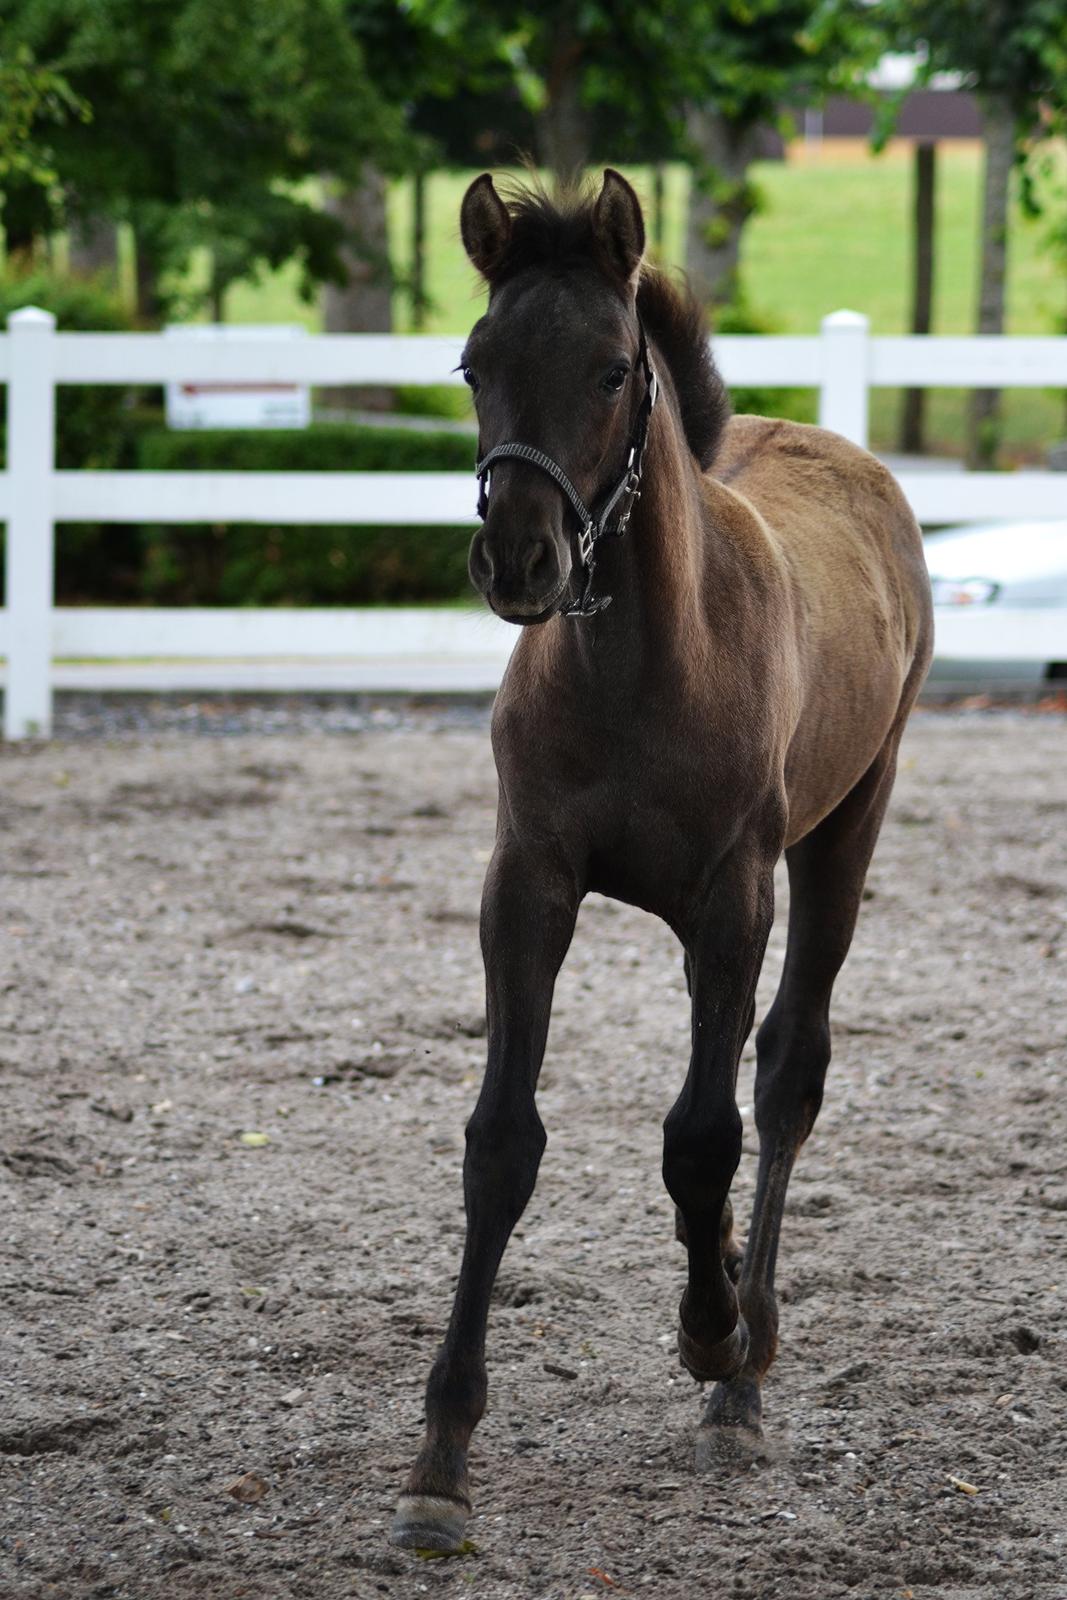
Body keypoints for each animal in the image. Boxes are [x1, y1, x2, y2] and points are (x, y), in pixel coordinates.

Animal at [391, 165, 934, 1548]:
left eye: (606, 370)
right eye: (473, 364)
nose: (518, 558)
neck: (640, 663)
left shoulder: (729, 902)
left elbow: (700, 1135)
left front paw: (710, 1332)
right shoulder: (524, 884)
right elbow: (500, 1142)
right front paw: (439, 1460)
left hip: (847, 826)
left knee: (786, 1074)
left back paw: (743, 1367)